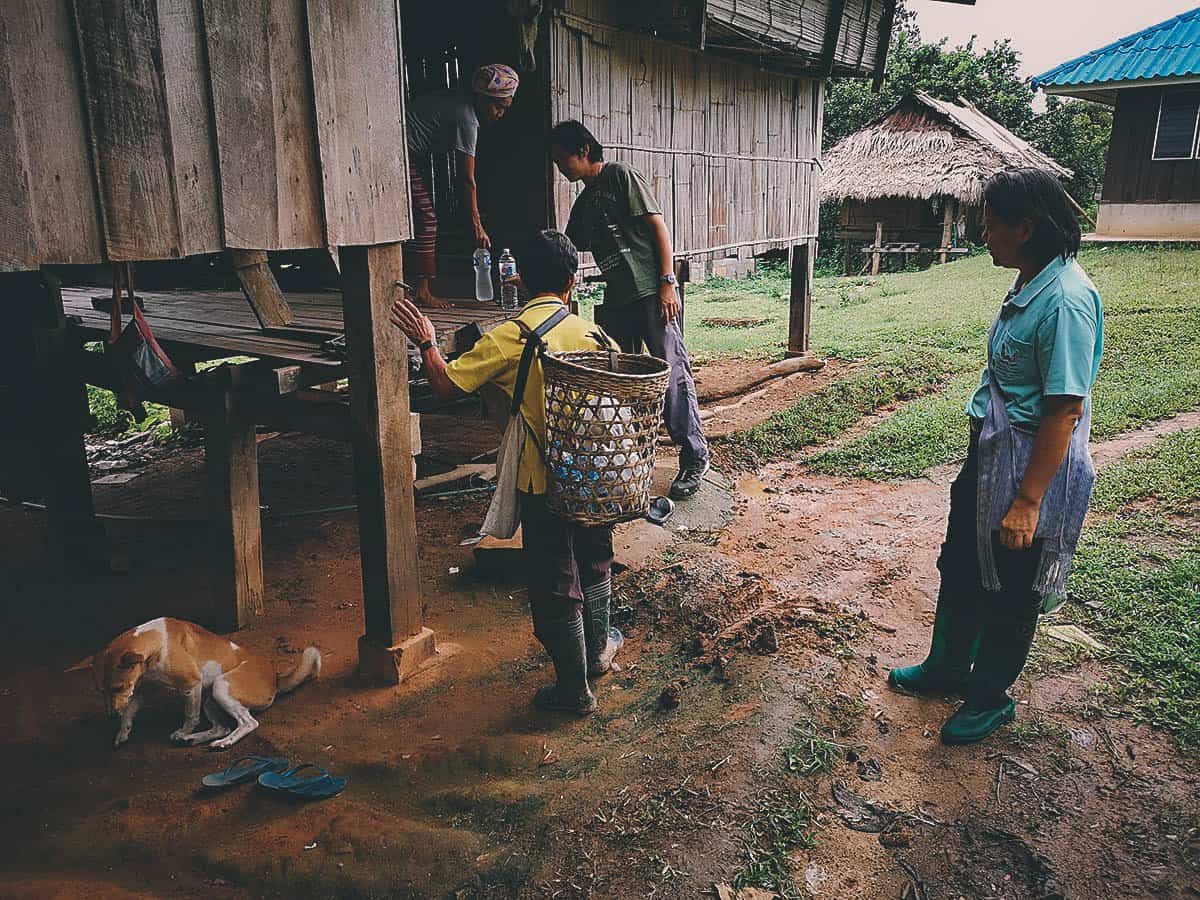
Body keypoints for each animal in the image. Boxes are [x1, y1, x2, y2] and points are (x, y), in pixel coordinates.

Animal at [68, 619, 321, 748]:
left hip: (220, 688)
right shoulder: (143, 689)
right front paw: (123, 732)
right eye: (100, 691)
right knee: (223, 726)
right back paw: (195, 739)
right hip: (211, 700)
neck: (157, 641)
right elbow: (129, 710)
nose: (111, 716)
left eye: (117, 687)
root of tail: (275, 678)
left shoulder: (191, 685)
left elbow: (190, 716)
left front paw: (184, 729)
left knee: (248, 723)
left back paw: (224, 742)